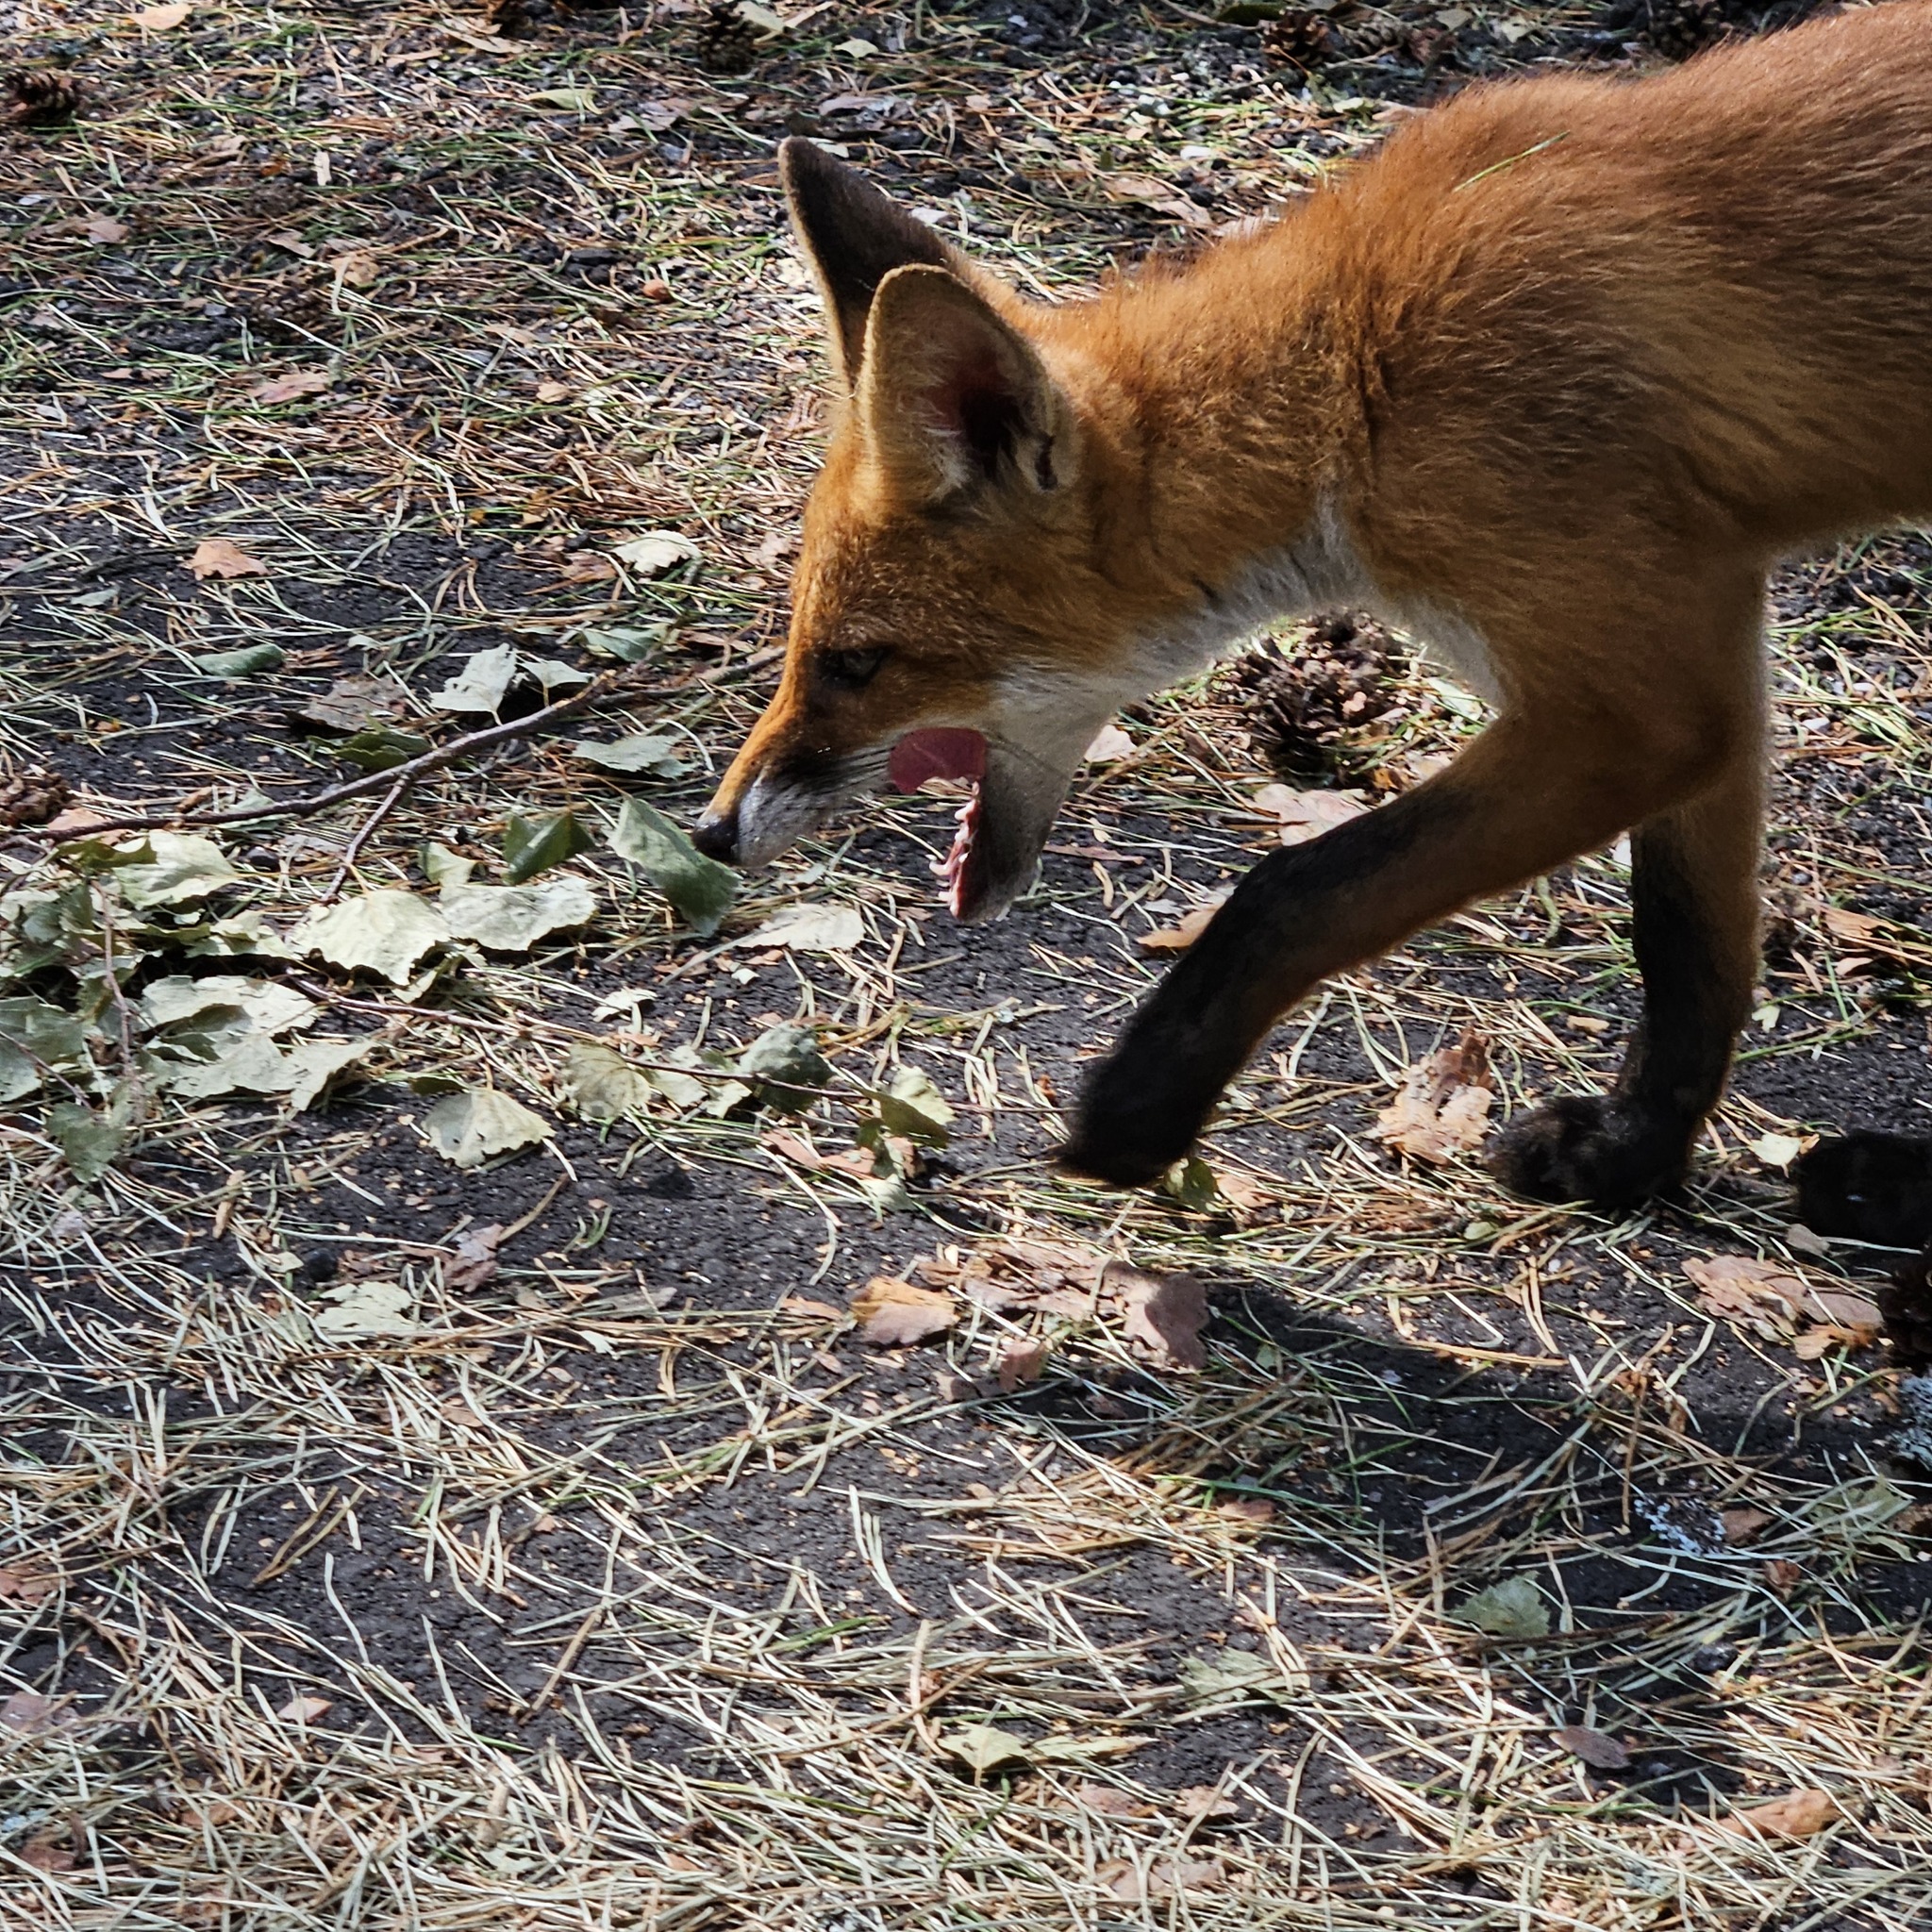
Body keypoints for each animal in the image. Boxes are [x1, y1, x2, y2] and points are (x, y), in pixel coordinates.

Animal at [703, 4, 1932, 1205]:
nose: (712, 833)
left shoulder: (1638, 710)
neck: (1356, 371)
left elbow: (1294, 889)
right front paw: (1631, 1154)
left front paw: (1139, 1108)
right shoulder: (1706, 635)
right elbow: (1685, 945)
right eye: (803, 645)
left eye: (855, 662)